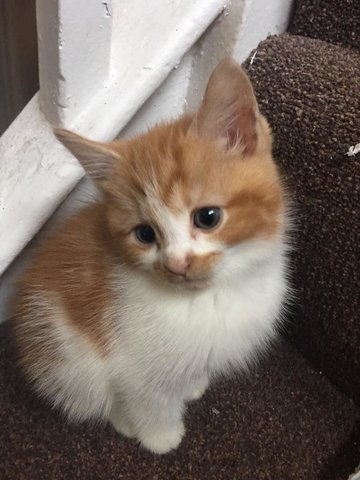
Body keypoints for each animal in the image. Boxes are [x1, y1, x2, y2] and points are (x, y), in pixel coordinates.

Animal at [11, 60, 290, 454]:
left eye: (207, 217)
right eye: (144, 234)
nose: (177, 264)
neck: (213, 296)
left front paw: (193, 386)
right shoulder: (133, 366)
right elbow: (149, 400)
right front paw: (161, 437)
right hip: (66, 357)